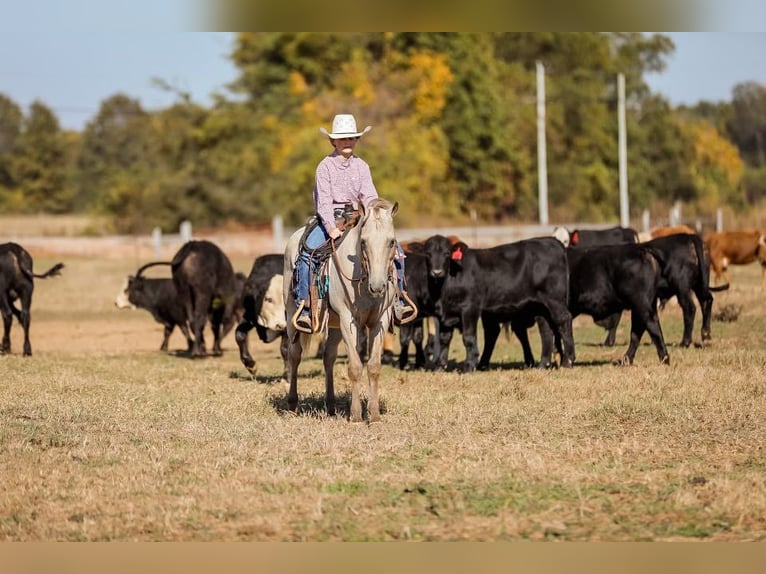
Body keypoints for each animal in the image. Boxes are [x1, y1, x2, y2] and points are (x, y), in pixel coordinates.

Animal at [282, 199, 402, 424]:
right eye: (363, 242)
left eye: (391, 242)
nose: (378, 287)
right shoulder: (349, 320)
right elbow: (355, 367)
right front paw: (355, 415)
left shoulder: (380, 321)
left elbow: (373, 366)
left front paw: (374, 415)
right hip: (292, 316)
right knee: (294, 356)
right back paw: (292, 404)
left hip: (335, 325)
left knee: (328, 357)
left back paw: (330, 405)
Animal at [426, 234, 576, 374]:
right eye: (428, 254)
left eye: (447, 253)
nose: (437, 272)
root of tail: (551, 240)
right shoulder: (446, 314)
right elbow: (444, 339)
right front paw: (439, 367)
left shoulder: (470, 308)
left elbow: (468, 337)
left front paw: (468, 367)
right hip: (540, 306)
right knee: (546, 330)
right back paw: (543, 365)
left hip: (554, 299)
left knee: (563, 320)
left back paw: (567, 362)